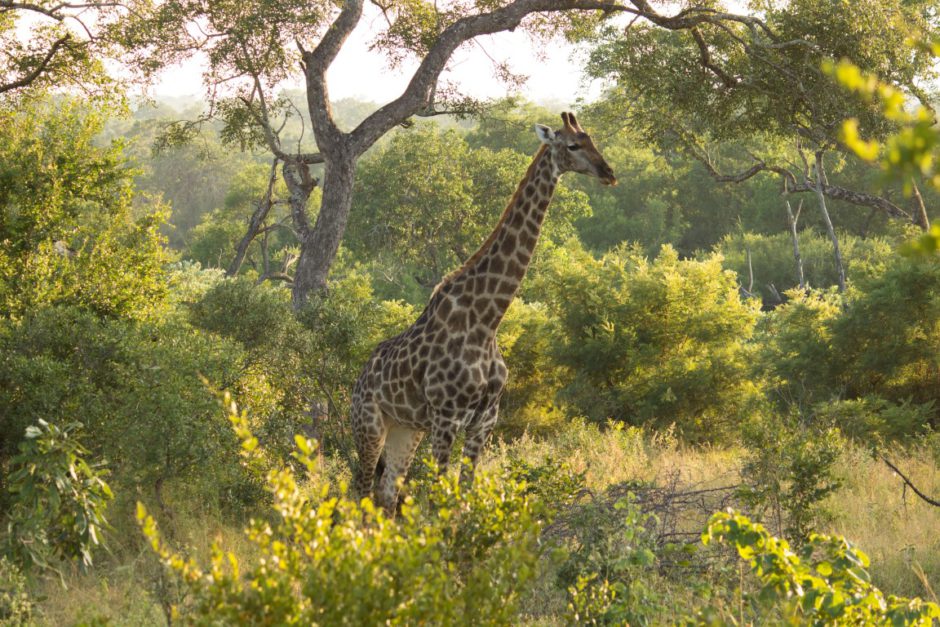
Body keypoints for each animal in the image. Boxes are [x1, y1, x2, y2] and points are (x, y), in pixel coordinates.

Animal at [348, 113, 612, 512]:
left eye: (592, 139)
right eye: (572, 145)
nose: (608, 172)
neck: (488, 321)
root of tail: (358, 381)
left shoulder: (484, 422)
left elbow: (464, 500)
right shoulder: (446, 419)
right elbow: (438, 501)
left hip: (405, 429)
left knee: (387, 492)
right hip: (370, 426)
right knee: (362, 492)